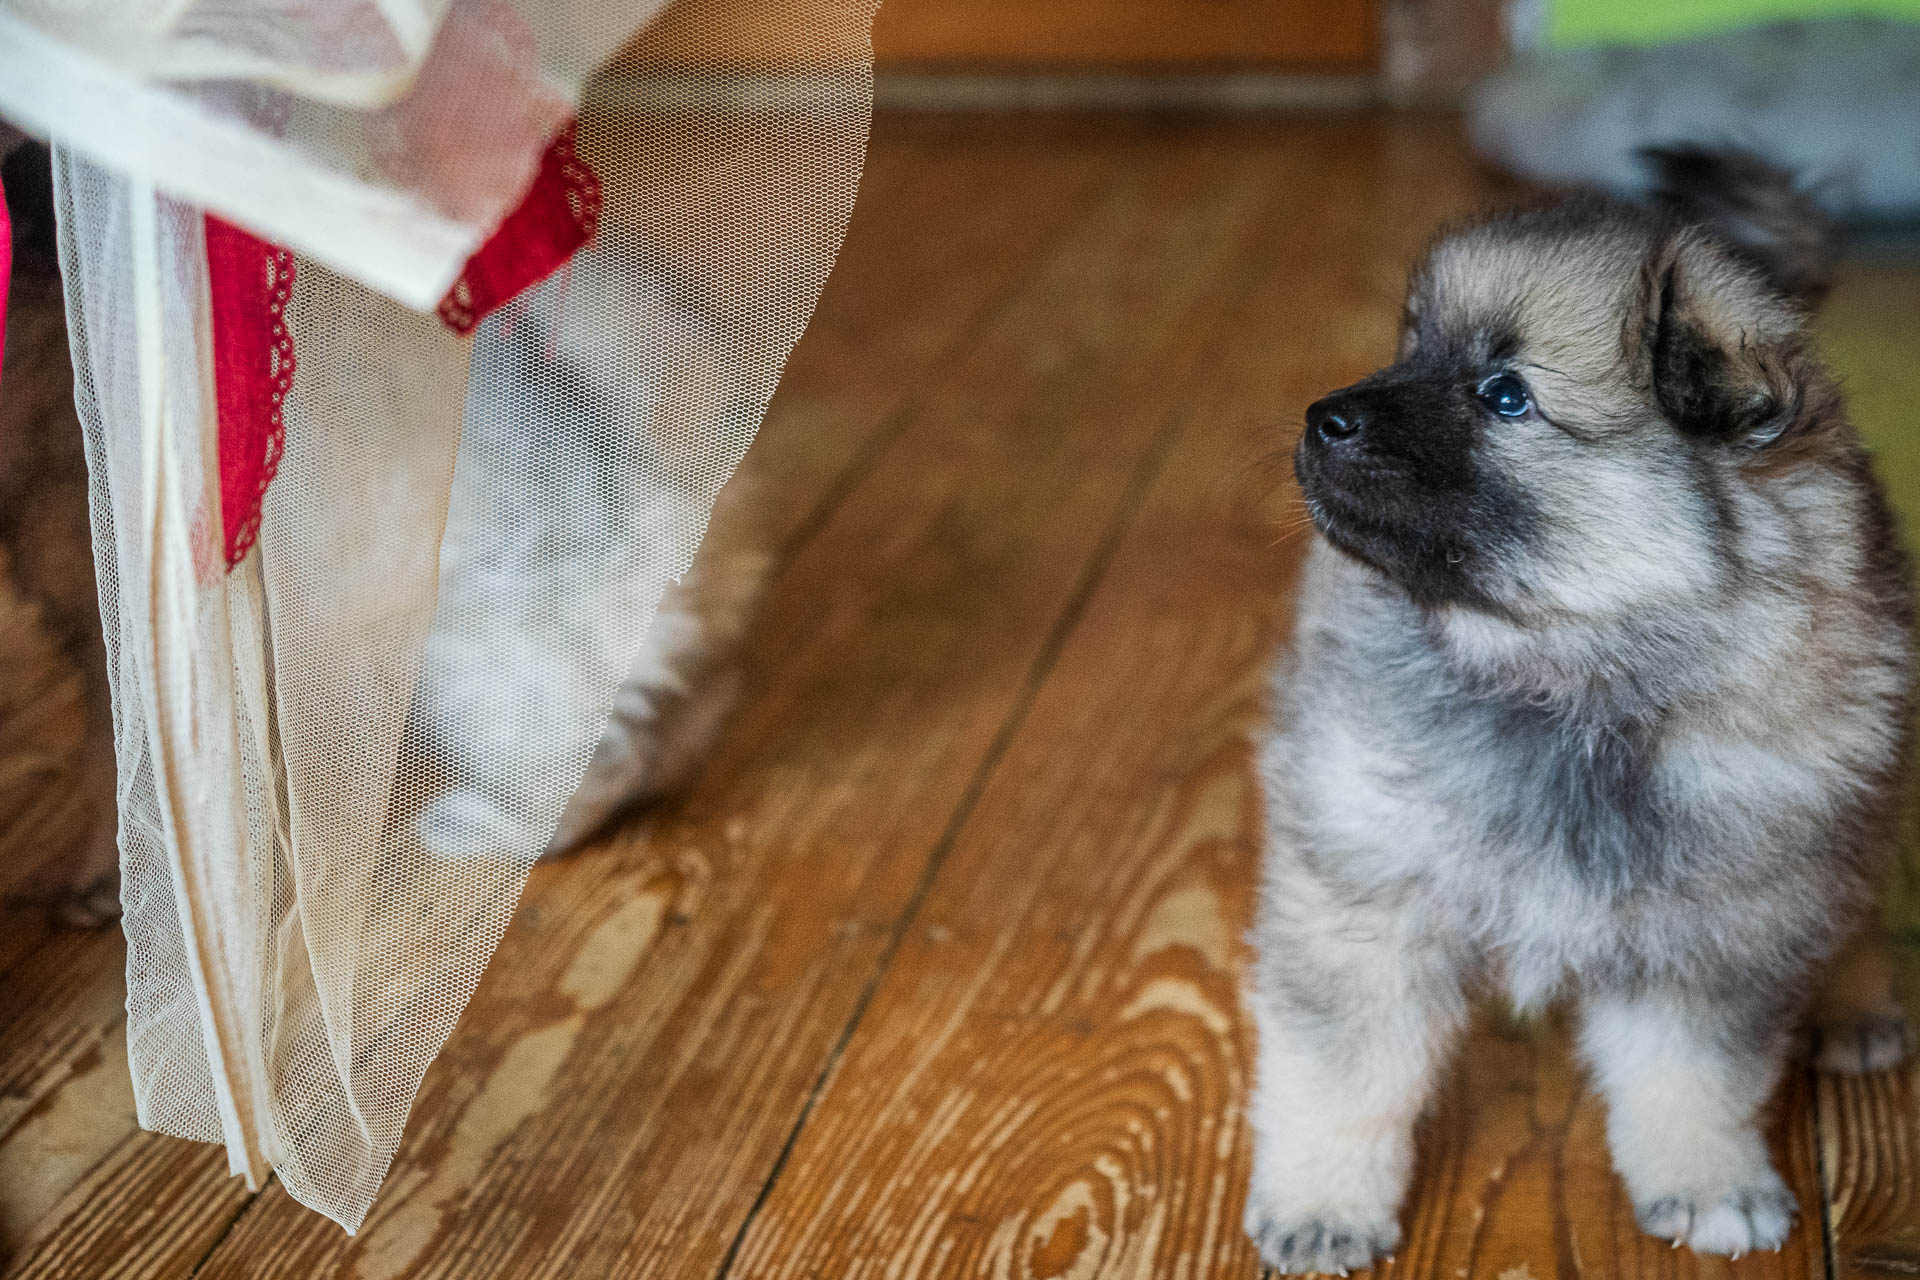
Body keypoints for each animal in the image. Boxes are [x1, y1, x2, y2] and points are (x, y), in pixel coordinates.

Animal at [1244, 150, 1904, 1274]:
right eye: (1411, 347)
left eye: (1505, 395)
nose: (1322, 416)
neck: (1569, 683)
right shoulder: (1367, 887)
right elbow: (1346, 1069)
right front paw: (1322, 1200)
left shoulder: (1716, 924)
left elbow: (1692, 1076)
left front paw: (1708, 1182)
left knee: (1853, 887)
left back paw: (1858, 996)